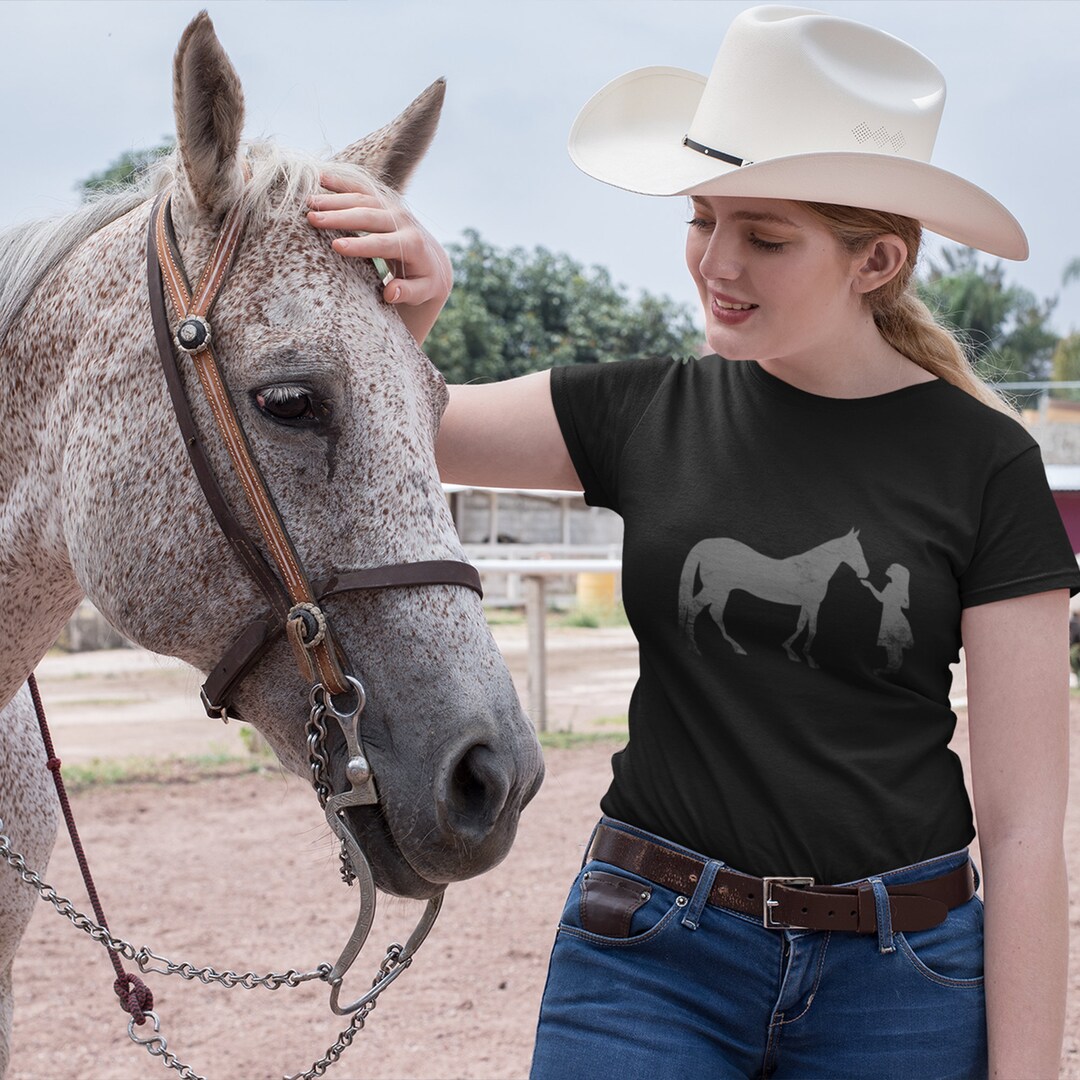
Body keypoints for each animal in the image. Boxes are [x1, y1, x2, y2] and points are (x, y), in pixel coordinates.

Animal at [678, 528, 869, 668]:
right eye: (855, 550)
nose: (866, 573)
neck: (814, 569)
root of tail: (706, 543)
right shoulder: (813, 604)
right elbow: (813, 629)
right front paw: (809, 658)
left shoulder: (806, 604)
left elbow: (801, 625)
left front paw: (790, 651)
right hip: (716, 589)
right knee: (697, 607)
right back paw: (695, 646)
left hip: (721, 591)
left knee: (712, 612)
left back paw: (733, 647)